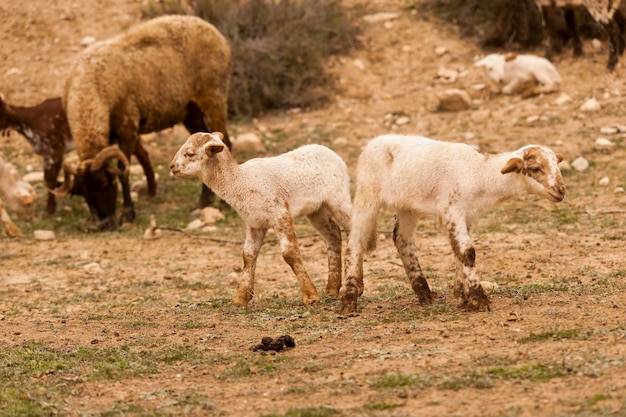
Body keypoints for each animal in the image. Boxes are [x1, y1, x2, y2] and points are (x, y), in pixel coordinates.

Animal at [0, 95, 156, 216]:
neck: (29, 122)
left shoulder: (54, 151)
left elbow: (50, 180)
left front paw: (49, 211)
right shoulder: (47, 155)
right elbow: (48, 179)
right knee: (143, 154)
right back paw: (151, 192)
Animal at [58, 15, 232, 231]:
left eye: (105, 184)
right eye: (81, 193)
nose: (104, 225)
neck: (91, 85)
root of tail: (216, 33)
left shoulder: (127, 129)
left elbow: (124, 171)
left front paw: (127, 214)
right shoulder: (125, 131)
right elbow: (142, 155)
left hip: (213, 99)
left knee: (225, 144)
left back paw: (224, 205)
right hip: (192, 113)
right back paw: (202, 204)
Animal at [168, 132, 352, 308]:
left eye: (190, 153)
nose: (172, 166)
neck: (240, 181)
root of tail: (329, 151)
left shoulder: (280, 213)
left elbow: (290, 254)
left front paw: (311, 297)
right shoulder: (254, 223)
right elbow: (248, 255)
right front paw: (240, 299)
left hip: (338, 197)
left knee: (352, 229)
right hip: (316, 209)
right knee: (333, 234)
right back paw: (332, 289)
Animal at [342, 135, 564, 314]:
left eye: (557, 166)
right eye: (535, 169)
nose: (561, 191)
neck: (481, 175)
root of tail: (373, 142)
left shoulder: (467, 216)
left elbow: (461, 252)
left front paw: (462, 297)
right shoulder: (452, 210)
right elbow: (467, 252)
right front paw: (479, 299)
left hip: (406, 205)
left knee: (401, 239)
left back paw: (424, 293)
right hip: (367, 193)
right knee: (355, 240)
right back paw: (349, 299)